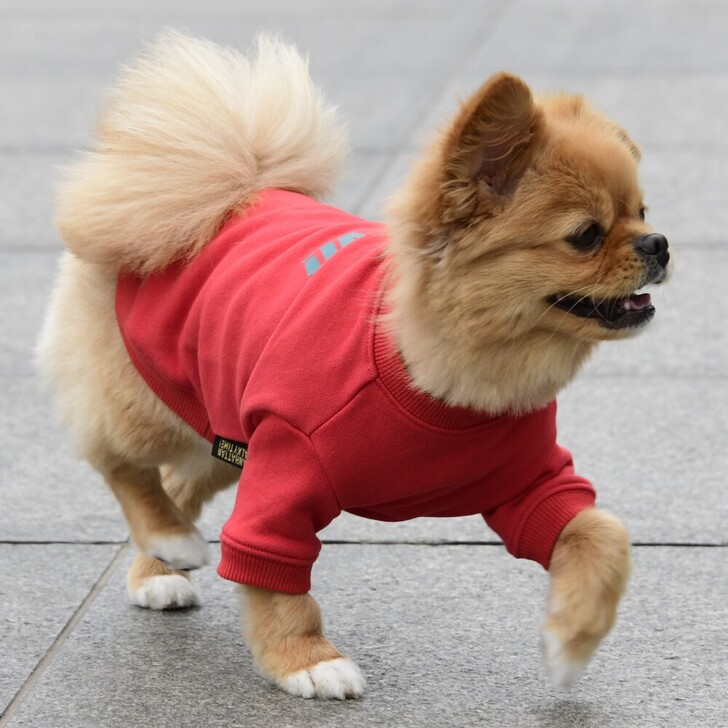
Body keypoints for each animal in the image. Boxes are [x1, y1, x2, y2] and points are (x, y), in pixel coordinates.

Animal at [37, 32, 669, 699]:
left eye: (643, 211)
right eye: (585, 235)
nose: (658, 243)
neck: (443, 383)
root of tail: (229, 193)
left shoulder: (530, 484)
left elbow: (603, 536)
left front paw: (571, 641)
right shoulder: (285, 470)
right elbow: (274, 575)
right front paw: (308, 661)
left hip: (226, 429)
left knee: (178, 480)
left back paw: (160, 569)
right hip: (150, 407)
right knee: (118, 460)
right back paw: (167, 539)